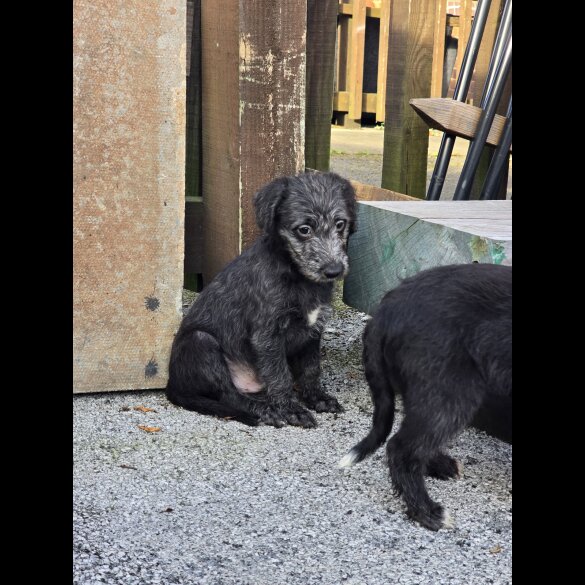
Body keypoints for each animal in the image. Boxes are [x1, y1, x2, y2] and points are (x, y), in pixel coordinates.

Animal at [164, 171, 356, 426]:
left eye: (340, 224)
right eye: (304, 229)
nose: (334, 270)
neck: (296, 275)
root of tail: (172, 385)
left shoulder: (313, 330)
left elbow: (311, 368)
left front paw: (317, 397)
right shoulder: (267, 334)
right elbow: (280, 376)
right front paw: (291, 409)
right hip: (201, 342)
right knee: (229, 395)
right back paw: (265, 410)